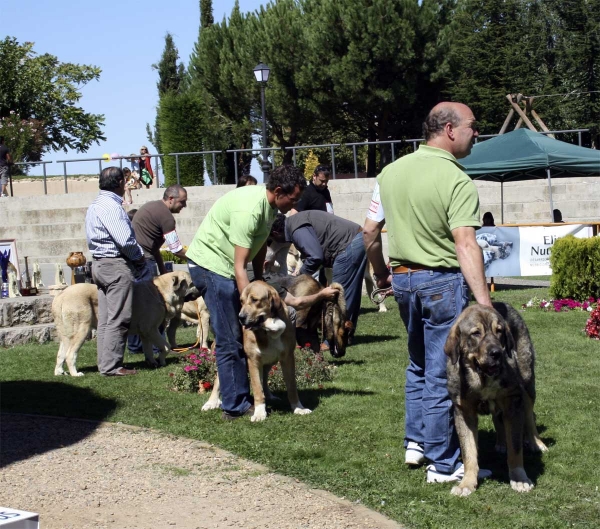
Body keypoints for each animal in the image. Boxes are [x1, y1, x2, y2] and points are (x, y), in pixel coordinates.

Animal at [54, 272, 199, 376]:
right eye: (192, 283)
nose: (201, 290)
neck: (161, 292)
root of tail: (61, 295)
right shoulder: (151, 329)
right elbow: (166, 346)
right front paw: (162, 361)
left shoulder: (145, 333)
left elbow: (148, 349)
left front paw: (152, 362)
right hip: (82, 330)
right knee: (70, 354)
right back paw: (75, 374)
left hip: (66, 335)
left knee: (61, 354)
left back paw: (60, 372)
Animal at [203, 280, 312, 420]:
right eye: (242, 301)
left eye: (255, 300)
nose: (241, 317)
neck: (266, 332)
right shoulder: (253, 361)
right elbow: (257, 388)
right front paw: (259, 413)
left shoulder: (288, 358)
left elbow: (292, 386)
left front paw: (299, 408)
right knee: (218, 380)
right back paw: (211, 402)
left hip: (270, 361)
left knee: (264, 379)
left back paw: (270, 396)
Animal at [442, 302, 548, 496]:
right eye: (476, 333)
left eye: (499, 331)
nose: (497, 352)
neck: (482, 379)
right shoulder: (463, 411)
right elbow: (469, 451)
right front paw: (467, 483)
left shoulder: (513, 402)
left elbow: (515, 448)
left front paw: (519, 478)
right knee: (498, 418)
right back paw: (501, 443)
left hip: (527, 382)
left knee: (530, 416)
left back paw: (536, 442)